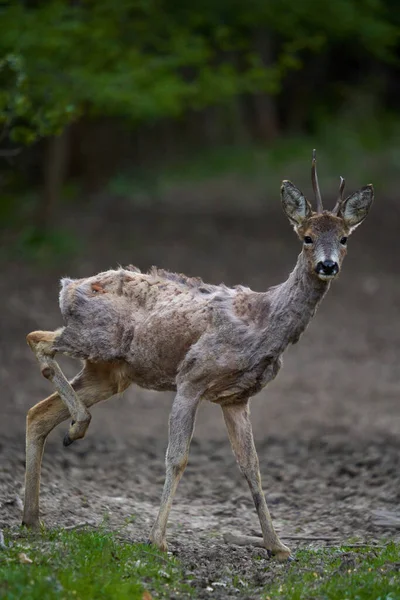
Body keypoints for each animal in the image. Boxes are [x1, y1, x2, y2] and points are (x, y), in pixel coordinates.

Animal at [21, 151, 372, 564]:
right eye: (307, 237)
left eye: (345, 238)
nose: (327, 265)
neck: (262, 322)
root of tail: (69, 287)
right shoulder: (191, 378)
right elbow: (177, 457)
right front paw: (158, 541)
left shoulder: (237, 398)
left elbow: (251, 467)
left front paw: (278, 546)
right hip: (96, 338)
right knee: (38, 339)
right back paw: (77, 427)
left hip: (108, 372)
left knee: (38, 413)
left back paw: (33, 519)